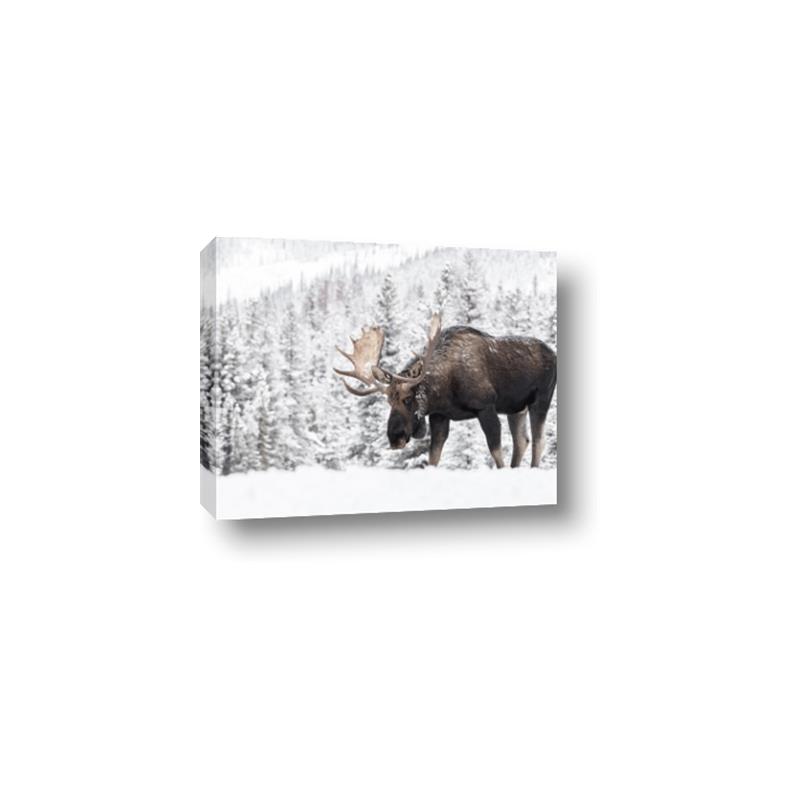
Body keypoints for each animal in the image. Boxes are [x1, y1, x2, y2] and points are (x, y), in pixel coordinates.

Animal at [333, 314, 556, 468]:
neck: (445, 389)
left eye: (408, 398)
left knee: (538, 441)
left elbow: (496, 452)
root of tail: (554, 354)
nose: (395, 437)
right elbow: (433, 457)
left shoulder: (485, 406)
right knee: (522, 441)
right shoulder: (439, 416)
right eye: (389, 401)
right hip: (516, 408)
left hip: (541, 399)